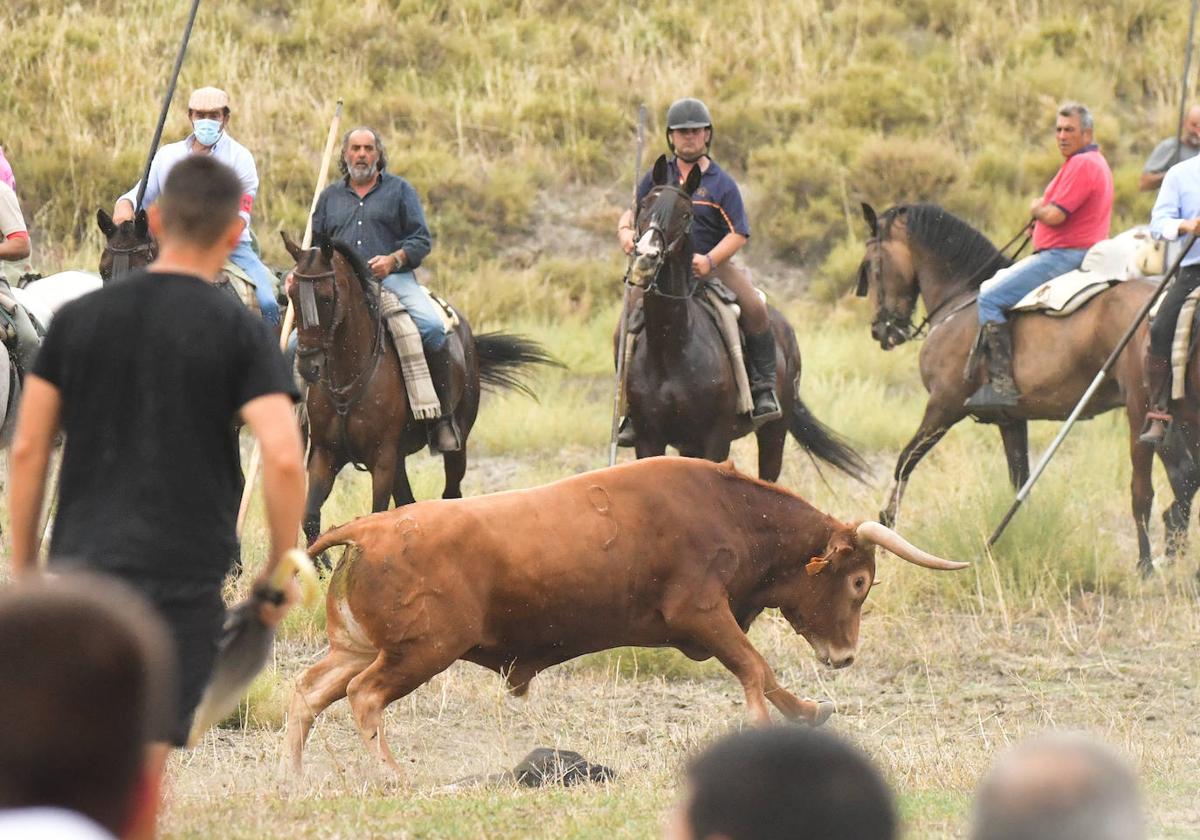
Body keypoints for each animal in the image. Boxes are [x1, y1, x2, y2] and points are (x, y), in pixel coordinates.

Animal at [285, 456, 969, 772]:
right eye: (859, 581)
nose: (844, 657)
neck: (730, 510)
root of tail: (369, 528)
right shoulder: (702, 612)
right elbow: (755, 669)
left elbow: (764, 674)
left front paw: (807, 712)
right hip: (418, 653)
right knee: (365, 697)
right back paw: (392, 776)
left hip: (356, 647)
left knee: (308, 692)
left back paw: (294, 775)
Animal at [624, 157, 868, 482]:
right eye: (644, 205)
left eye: (685, 214)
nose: (645, 258)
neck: (672, 348)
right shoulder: (649, 439)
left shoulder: (715, 439)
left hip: (773, 432)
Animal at [859, 201, 1185, 578]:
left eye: (872, 265)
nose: (881, 331)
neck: (961, 301)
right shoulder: (1011, 420)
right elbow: (1020, 479)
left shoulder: (943, 406)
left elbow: (904, 461)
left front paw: (886, 525)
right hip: (1166, 420)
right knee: (1184, 478)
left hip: (1140, 414)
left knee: (1146, 489)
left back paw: (1146, 564)